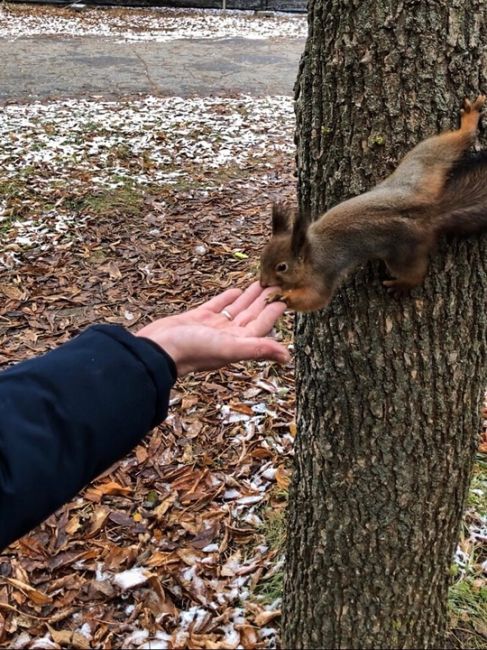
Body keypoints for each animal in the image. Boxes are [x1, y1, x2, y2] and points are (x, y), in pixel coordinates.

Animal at [262, 93, 487, 312]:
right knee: (453, 144)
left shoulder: (322, 273)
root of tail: (428, 210)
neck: (310, 250)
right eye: (263, 256)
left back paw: (401, 285)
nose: (263, 284)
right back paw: (469, 121)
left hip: (402, 253)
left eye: (282, 267)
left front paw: (282, 297)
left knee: (416, 274)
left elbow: (315, 299)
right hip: (421, 166)